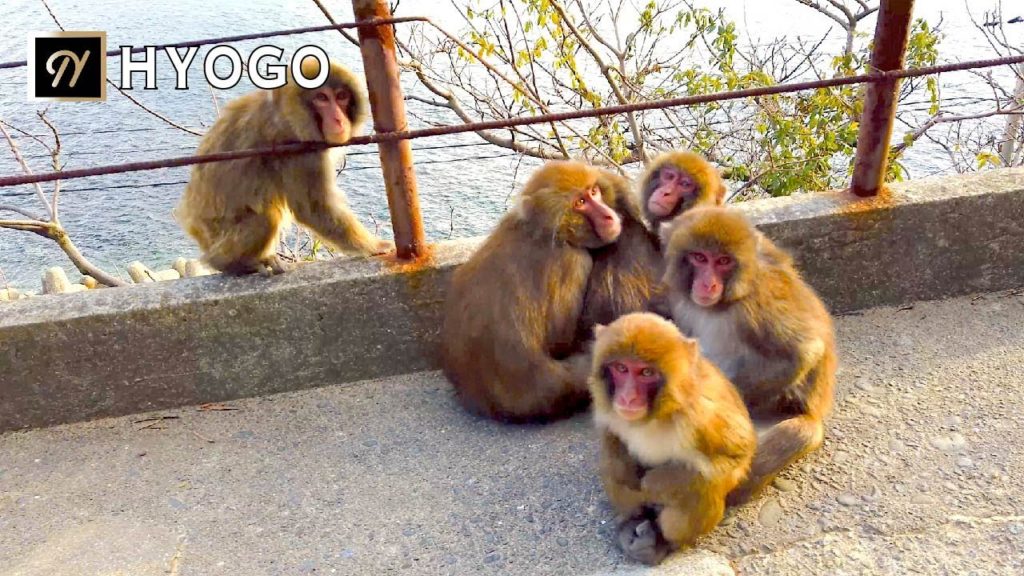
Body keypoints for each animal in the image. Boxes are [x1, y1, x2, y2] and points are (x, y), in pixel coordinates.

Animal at [174, 57, 392, 275]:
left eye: (341, 96)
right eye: (321, 98)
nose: (338, 119)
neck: (285, 112)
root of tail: (191, 223)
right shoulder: (299, 152)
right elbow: (314, 209)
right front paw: (375, 246)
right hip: (216, 236)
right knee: (267, 217)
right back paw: (234, 264)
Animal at [440, 160, 623, 423]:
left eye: (593, 192)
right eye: (580, 202)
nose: (608, 215)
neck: (542, 231)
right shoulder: (572, 262)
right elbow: (560, 338)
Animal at [589, 312, 756, 565]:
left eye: (646, 373)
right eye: (621, 368)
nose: (627, 398)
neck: (654, 416)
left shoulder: (702, 416)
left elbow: (736, 455)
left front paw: (653, 484)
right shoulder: (608, 409)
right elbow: (613, 446)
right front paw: (626, 475)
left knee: (701, 488)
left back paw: (662, 541)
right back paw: (634, 521)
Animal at [661, 206, 836, 505]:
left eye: (723, 261)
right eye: (699, 257)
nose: (708, 284)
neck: (722, 304)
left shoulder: (757, 305)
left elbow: (802, 352)